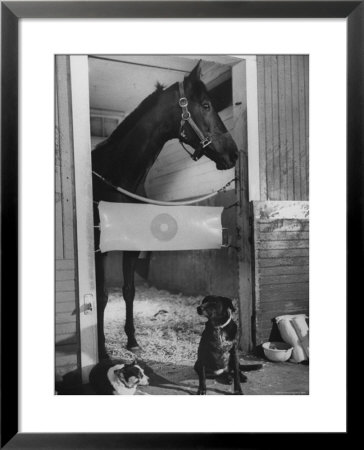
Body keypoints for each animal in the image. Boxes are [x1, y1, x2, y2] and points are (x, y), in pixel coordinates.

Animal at [91, 61, 239, 360]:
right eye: (206, 105)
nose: (234, 153)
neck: (118, 176)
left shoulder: (133, 244)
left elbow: (129, 290)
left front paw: (132, 340)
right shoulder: (101, 248)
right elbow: (102, 296)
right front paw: (101, 349)